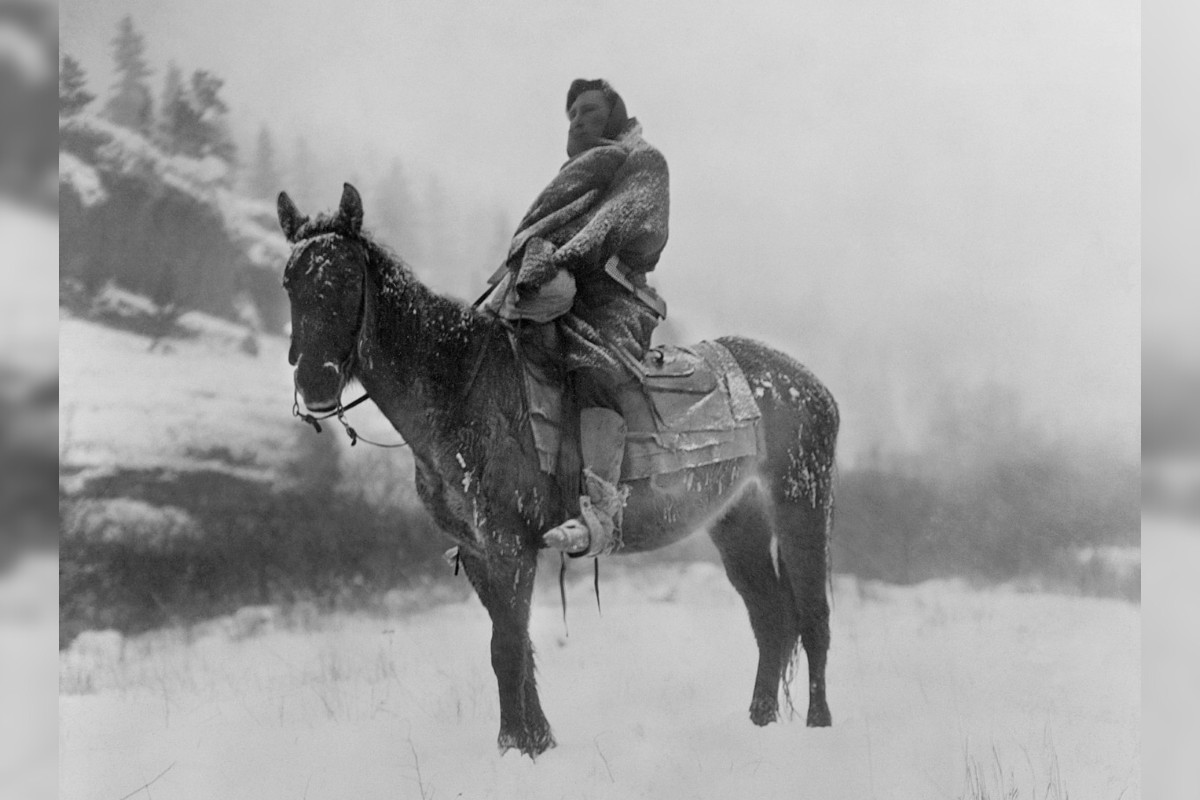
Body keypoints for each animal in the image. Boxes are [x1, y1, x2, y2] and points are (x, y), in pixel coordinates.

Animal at [276, 184, 840, 762]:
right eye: (290, 281)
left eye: (345, 280)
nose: (314, 384)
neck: (462, 388)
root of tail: (809, 384)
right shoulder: (479, 551)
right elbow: (515, 645)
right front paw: (533, 742)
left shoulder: (509, 544)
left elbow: (506, 647)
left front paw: (515, 747)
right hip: (736, 521)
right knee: (771, 619)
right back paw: (760, 723)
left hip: (802, 501)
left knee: (814, 617)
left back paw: (818, 725)